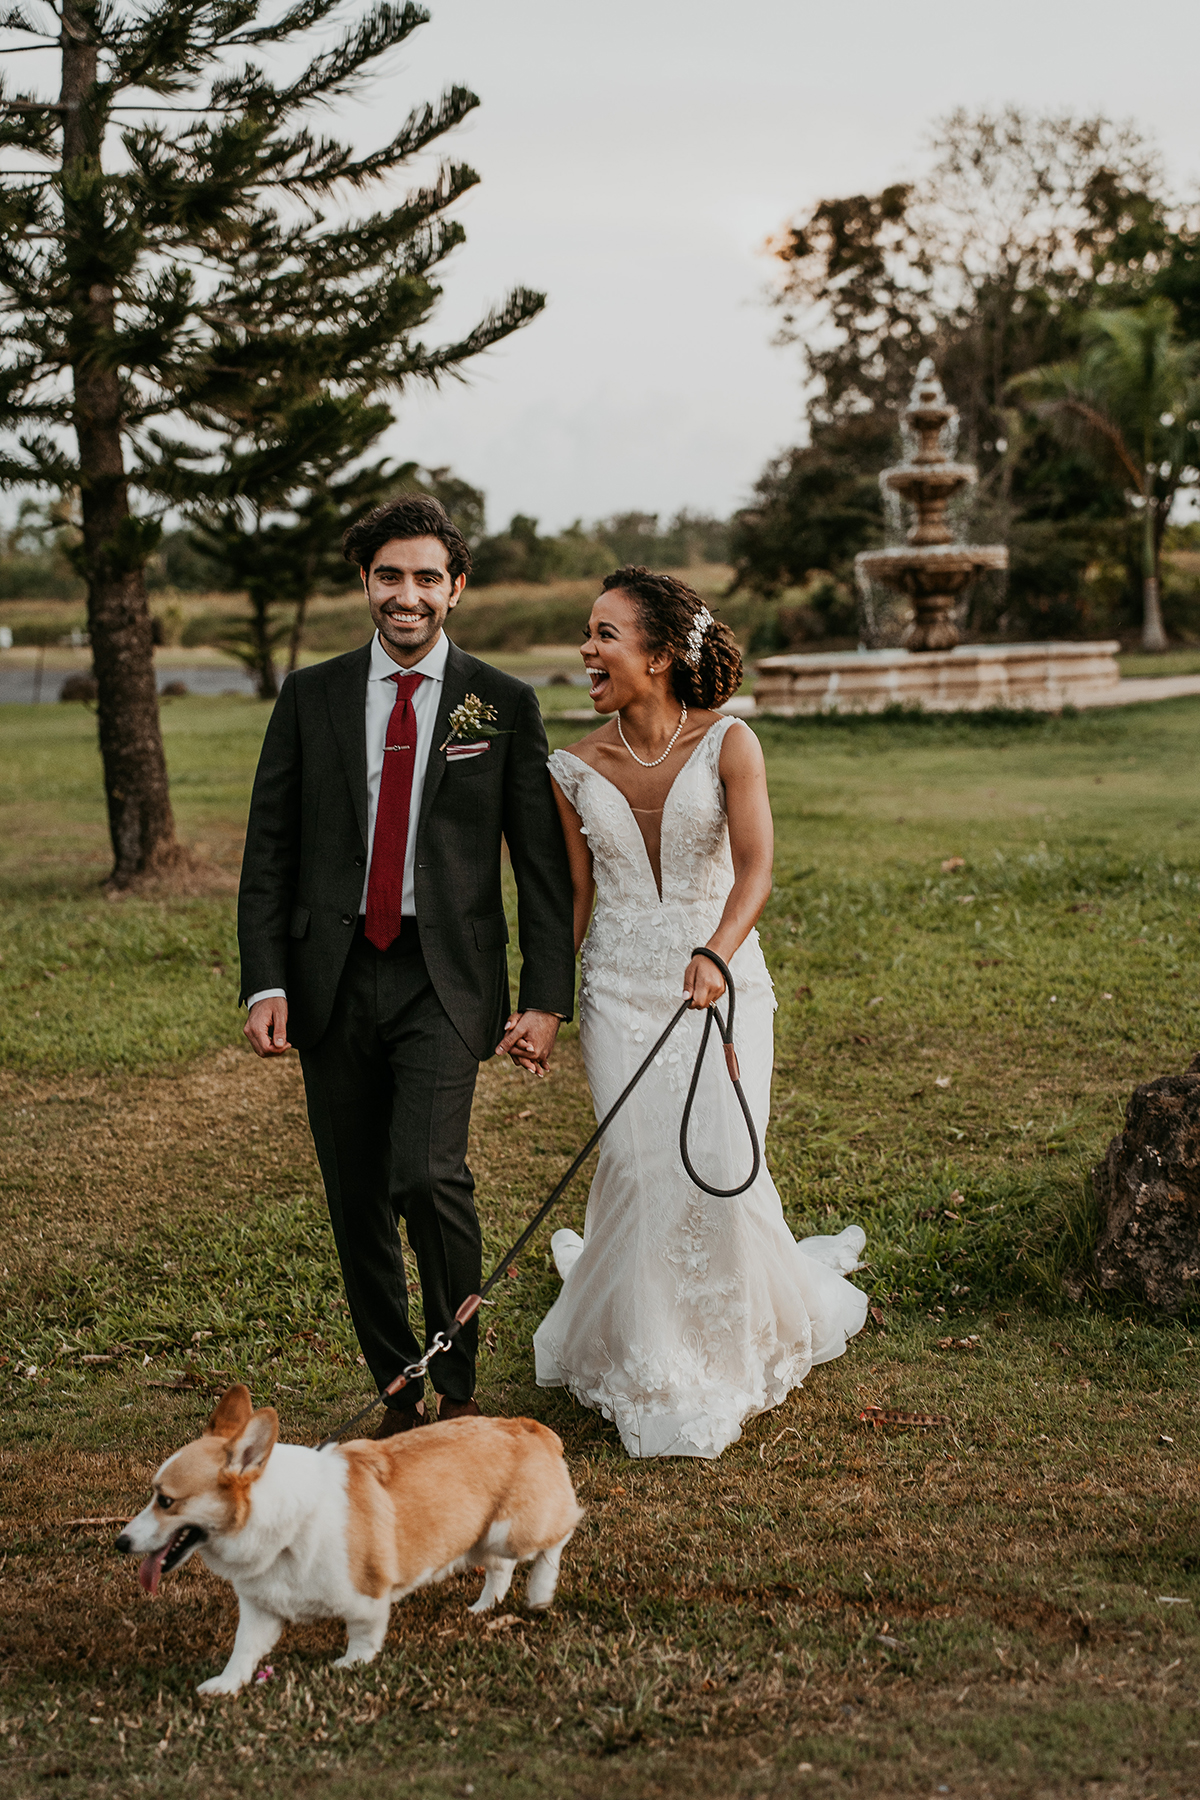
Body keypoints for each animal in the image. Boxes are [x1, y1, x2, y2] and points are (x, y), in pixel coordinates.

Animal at [116, 1382, 582, 1692]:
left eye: (166, 1501)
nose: (120, 1543)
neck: (282, 1521)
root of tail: (530, 1427)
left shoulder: (367, 1597)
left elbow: (363, 1635)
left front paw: (350, 1664)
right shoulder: (261, 1608)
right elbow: (243, 1650)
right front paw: (225, 1685)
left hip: (514, 1531)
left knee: (557, 1537)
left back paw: (540, 1593)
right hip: (481, 1539)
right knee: (500, 1567)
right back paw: (486, 1606)